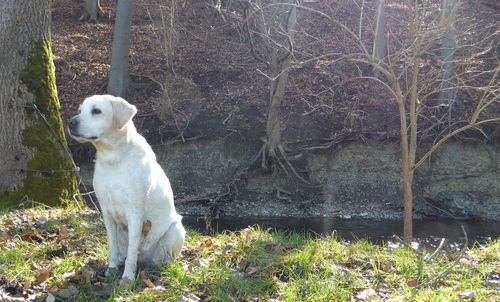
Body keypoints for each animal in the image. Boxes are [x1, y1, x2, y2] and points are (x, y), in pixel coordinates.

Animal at [68, 94, 186, 280]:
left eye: (96, 111)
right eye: (80, 110)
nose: (70, 122)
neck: (114, 158)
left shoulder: (135, 212)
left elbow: (132, 251)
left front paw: (128, 277)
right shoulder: (106, 212)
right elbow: (112, 246)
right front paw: (111, 269)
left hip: (176, 230)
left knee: (164, 257)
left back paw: (160, 266)